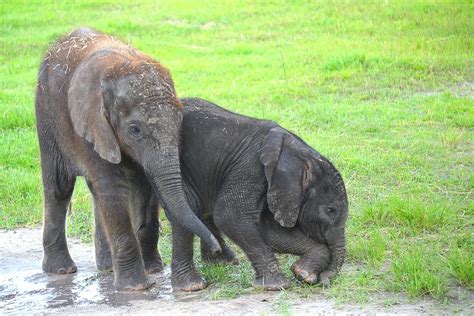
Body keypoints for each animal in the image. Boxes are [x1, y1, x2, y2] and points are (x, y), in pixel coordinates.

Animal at [35, 28, 220, 290]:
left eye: (180, 121)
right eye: (134, 130)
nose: (216, 251)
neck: (122, 66)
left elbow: (145, 187)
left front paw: (153, 269)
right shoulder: (94, 124)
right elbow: (113, 189)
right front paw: (136, 287)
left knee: (95, 192)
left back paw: (107, 267)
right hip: (47, 115)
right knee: (59, 187)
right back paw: (62, 269)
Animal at [96, 97, 348, 292]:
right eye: (330, 210)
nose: (324, 281)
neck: (297, 149)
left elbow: (267, 229)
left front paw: (303, 273)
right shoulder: (250, 168)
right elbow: (231, 216)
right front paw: (279, 285)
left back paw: (222, 261)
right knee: (188, 208)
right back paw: (194, 284)